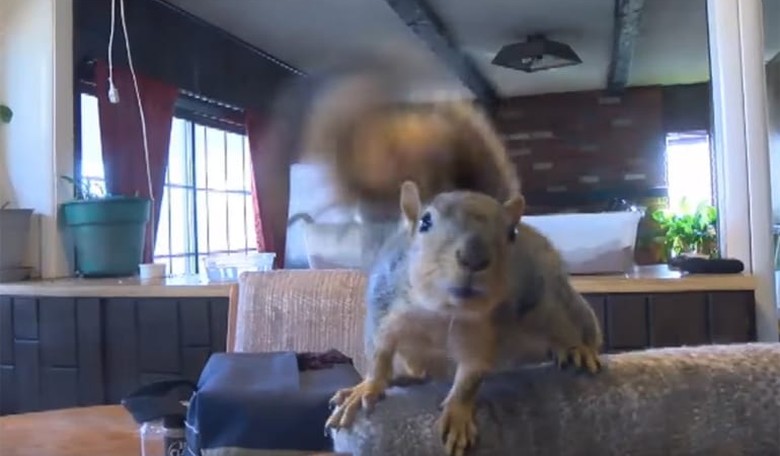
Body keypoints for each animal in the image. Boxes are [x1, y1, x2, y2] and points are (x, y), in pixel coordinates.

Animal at [325, 181, 604, 456]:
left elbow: (470, 376)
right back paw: (404, 378)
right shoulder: (384, 310)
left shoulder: (482, 335)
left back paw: (576, 349)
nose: (475, 257)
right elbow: (379, 355)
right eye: (425, 222)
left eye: (511, 233)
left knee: (570, 329)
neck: (442, 313)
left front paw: (457, 415)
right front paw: (367, 388)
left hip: (552, 303)